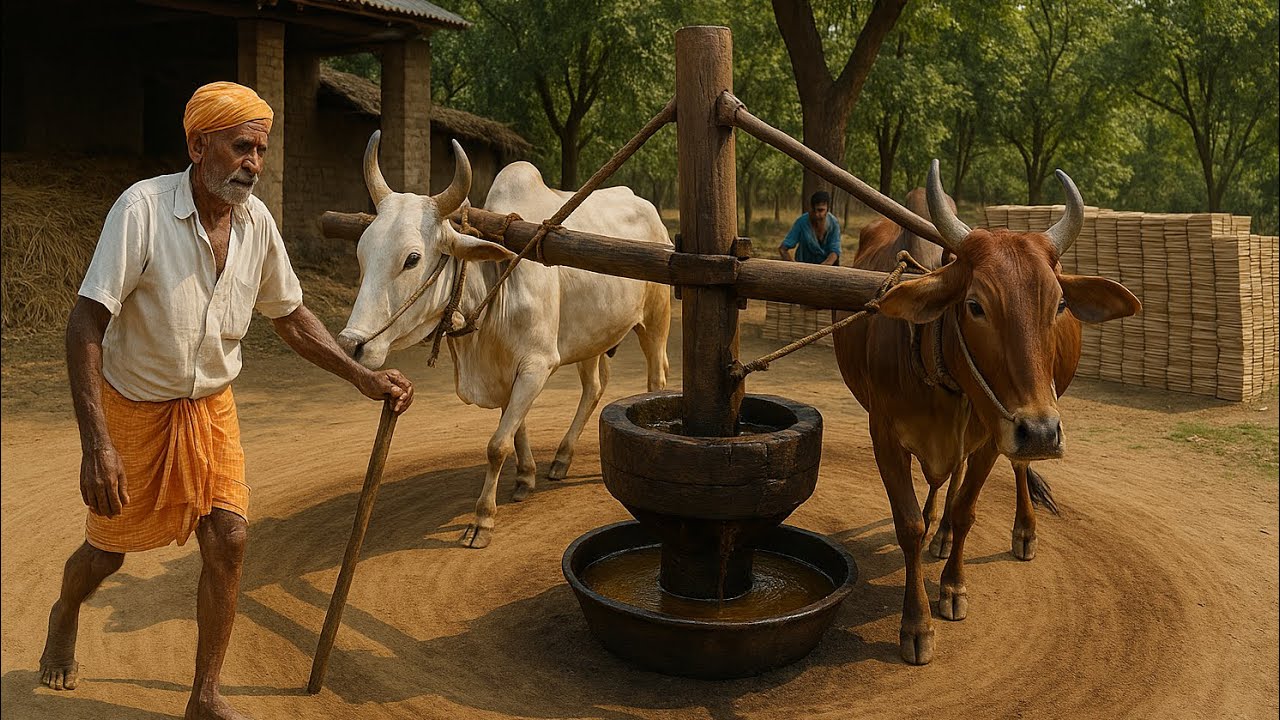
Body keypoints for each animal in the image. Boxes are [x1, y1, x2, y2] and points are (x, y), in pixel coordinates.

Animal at [337, 132, 672, 548]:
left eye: (412, 258)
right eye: (361, 252)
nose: (351, 345)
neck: (494, 286)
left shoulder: (536, 365)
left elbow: (497, 444)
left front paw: (483, 519)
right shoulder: (504, 373)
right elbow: (515, 428)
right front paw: (526, 477)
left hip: (656, 322)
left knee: (656, 379)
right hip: (593, 337)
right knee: (594, 387)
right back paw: (562, 458)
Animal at [833, 160, 1140, 665]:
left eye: (1059, 303)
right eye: (975, 305)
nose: (1042, 431)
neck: (936, 364)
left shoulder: (992, 436)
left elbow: (965, 510)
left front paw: (953, 588)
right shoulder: (885, 436)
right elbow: (909, 524)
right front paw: (916, 624)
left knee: (1011, 470)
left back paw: (1021, 532)